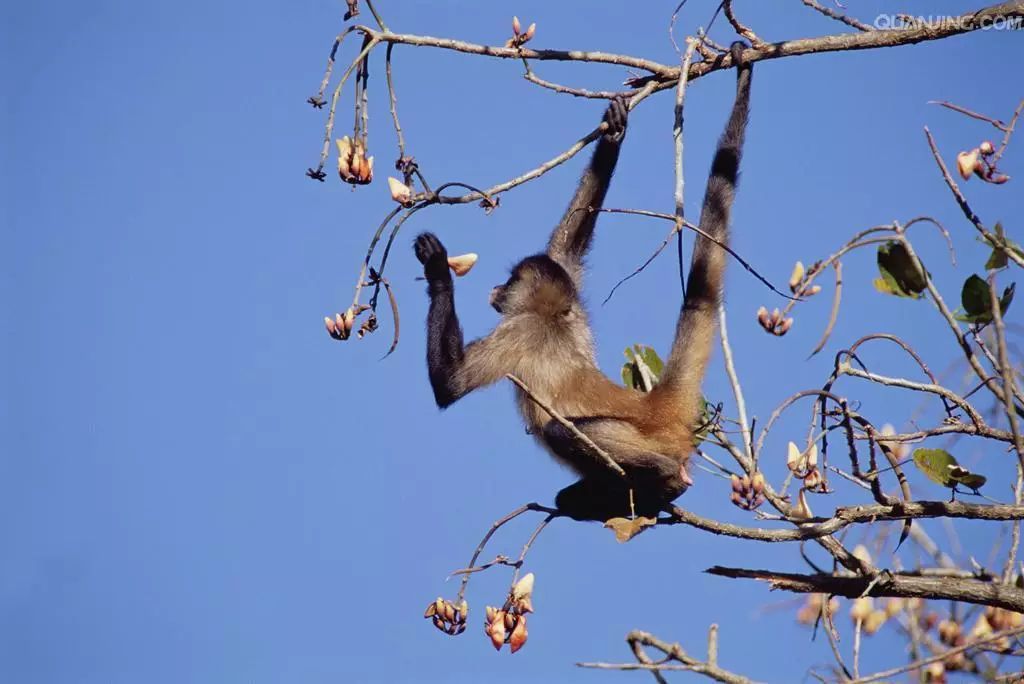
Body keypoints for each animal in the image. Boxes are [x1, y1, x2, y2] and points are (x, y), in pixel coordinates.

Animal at [411, 42, 757, 520]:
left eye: (510, 281)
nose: (496, 290)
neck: (553, 316)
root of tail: (653, 405)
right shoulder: (570, 301)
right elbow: (569, 244)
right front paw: (614, 135)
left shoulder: (522, 328)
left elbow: (452, 382)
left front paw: (439, 269)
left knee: (560, 431)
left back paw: (665, 478)